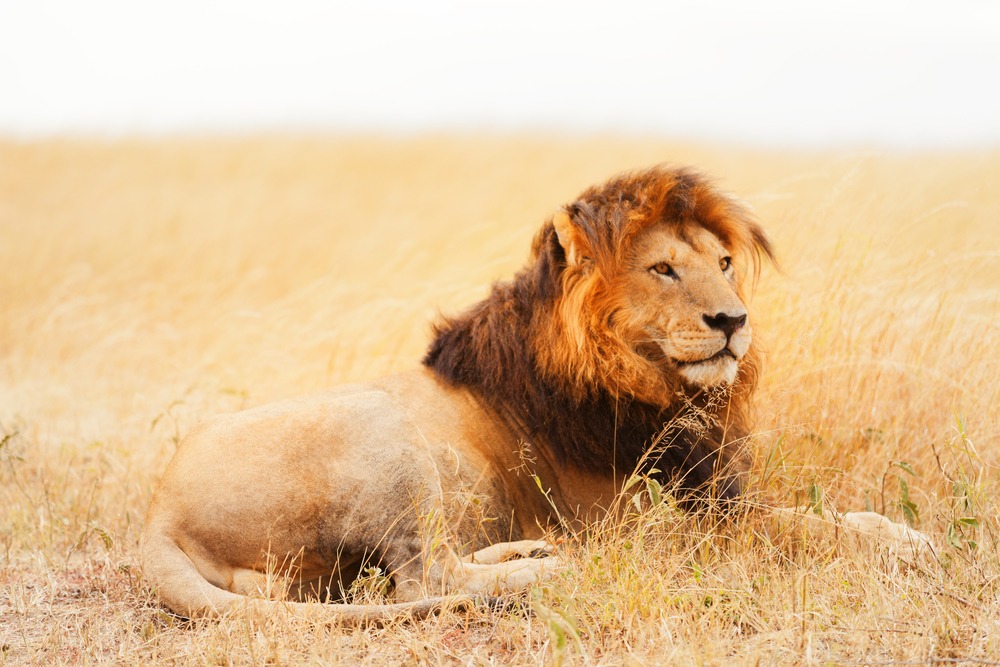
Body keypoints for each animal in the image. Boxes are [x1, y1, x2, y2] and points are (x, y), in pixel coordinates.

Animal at [140, 166, 931, 623]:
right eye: (664, 269)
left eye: (726, 262)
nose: (734, 322)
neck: (649, 386)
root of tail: (157, 511)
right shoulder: (651, 522)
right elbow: (799, 527)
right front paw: (904, 546)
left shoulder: (709, 493)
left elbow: (823, 514)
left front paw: (903, 532)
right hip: (379, 421)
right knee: (423, 579)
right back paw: (547, 569)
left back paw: (523, 552)